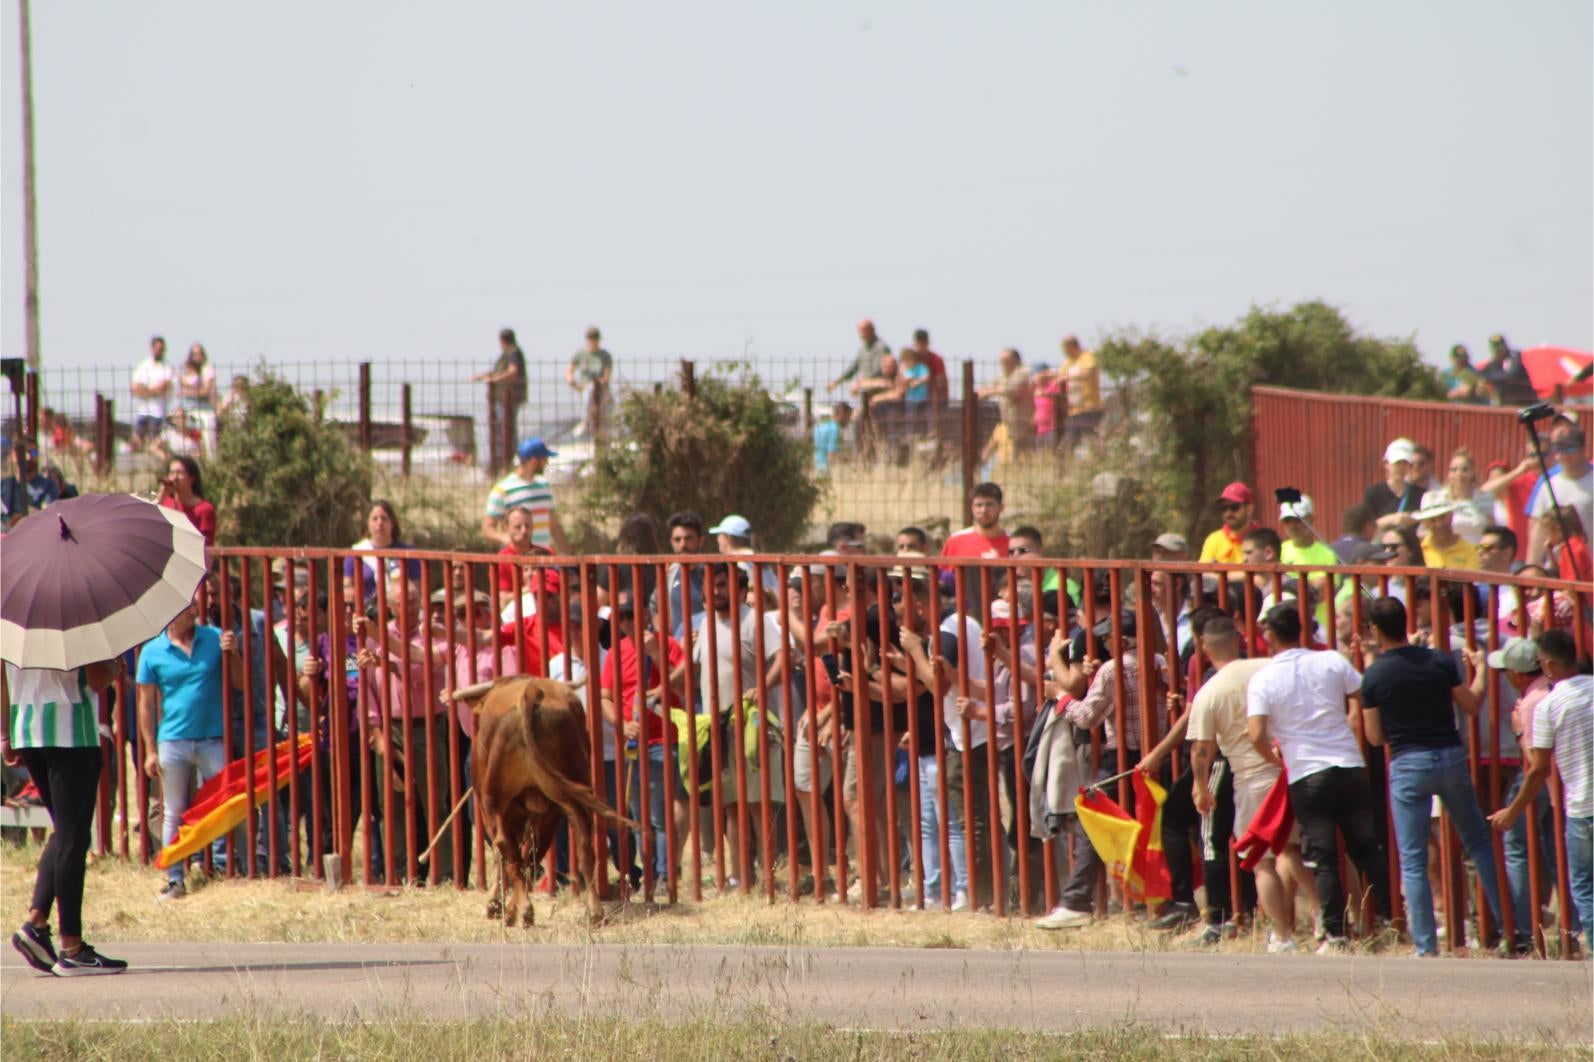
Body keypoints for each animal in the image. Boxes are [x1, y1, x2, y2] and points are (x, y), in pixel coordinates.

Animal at [452, 679, 631, 918]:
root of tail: (532, 691)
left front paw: (496, 903)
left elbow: (506, 854)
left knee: (505, 845)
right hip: (564, 799)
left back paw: (523, 910)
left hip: (494, 801)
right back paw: (594, 911)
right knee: (582, 843)